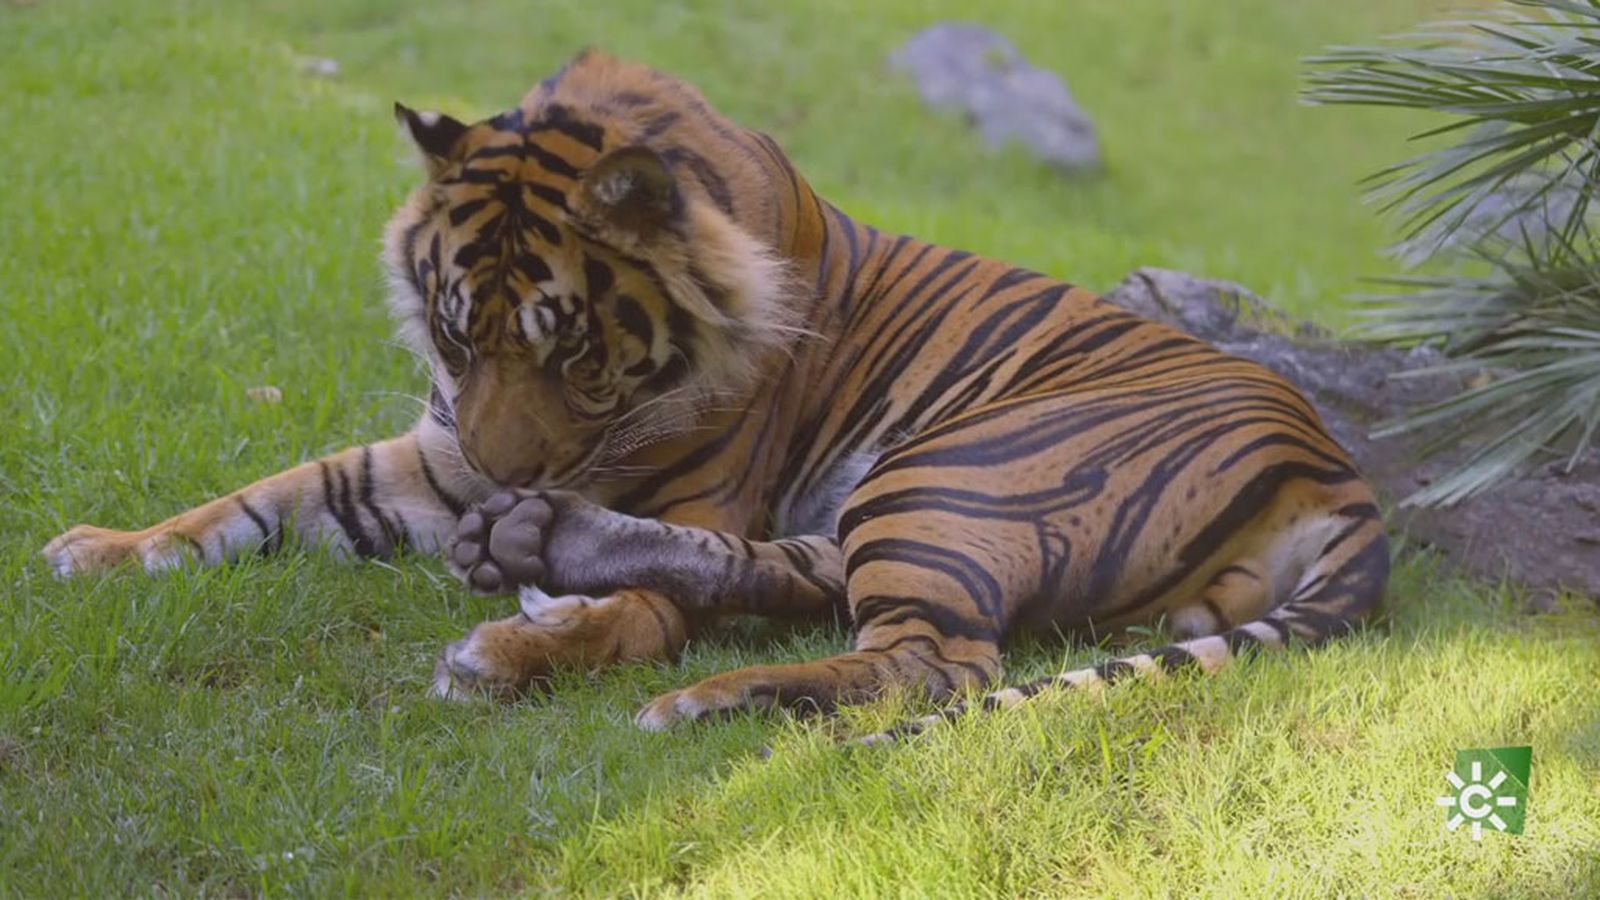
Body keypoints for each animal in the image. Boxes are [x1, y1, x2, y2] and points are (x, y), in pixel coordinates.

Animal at [44, 49, 1390, 742]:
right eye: (457, 339)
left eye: (575, 355)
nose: (507, 483)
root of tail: (1343, 473)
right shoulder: (435, 452)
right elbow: (256, 500)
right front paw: (99, 550)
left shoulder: (677, 488)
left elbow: (639, 613)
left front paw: (507, 654)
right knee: (806, 584)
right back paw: (549, 554)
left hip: (948, 471)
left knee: (930, 662)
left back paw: (695, 691)